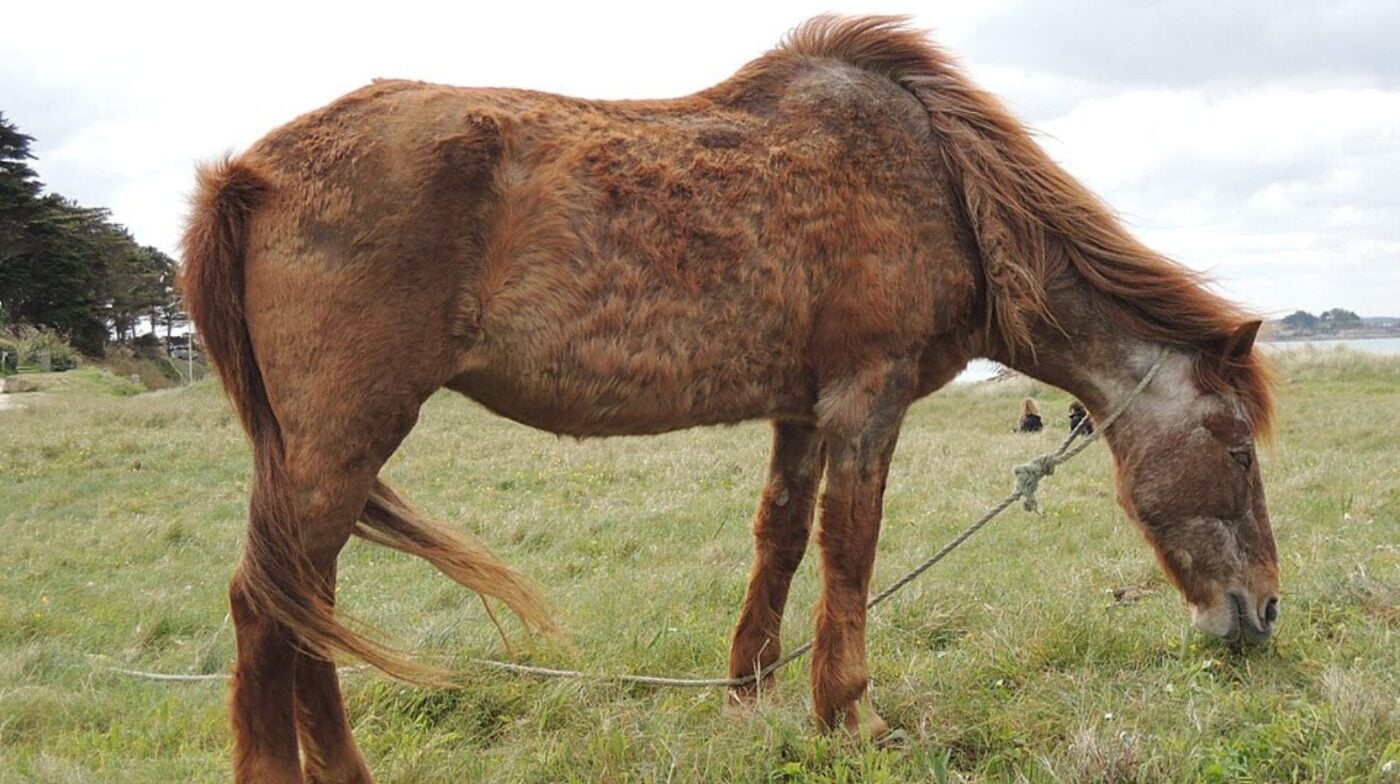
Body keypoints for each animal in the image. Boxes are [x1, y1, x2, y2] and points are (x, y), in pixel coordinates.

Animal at [180, 16, 1280, 783]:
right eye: (1235, 445)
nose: (1262, 612)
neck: (942, 187)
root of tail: (252, 172)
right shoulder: (867, 399)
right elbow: (849, 548)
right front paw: (851, 716)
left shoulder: (800, 411)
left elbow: (781, 540)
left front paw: (751, 698)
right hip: (344, 436)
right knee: (266, 604)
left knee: (306, 603)